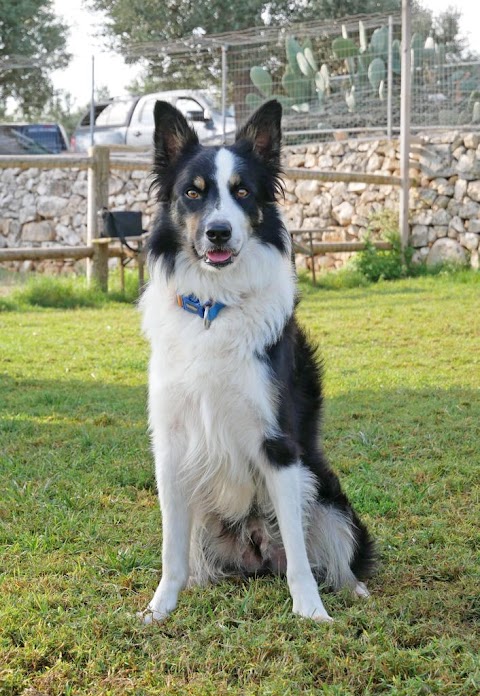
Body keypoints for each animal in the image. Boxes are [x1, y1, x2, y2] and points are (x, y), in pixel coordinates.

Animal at [139, 95, 376, 624]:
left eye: (243, 191)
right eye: (193, 192)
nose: (218, 232)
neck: (215, 307)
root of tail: (256, 552)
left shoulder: (280, 446)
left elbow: (301, 558)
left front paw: (310, 612)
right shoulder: (172, 445)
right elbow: (169, 550)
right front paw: (160, 608)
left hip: (327, 496)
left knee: (332, 556)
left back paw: (354, 591)